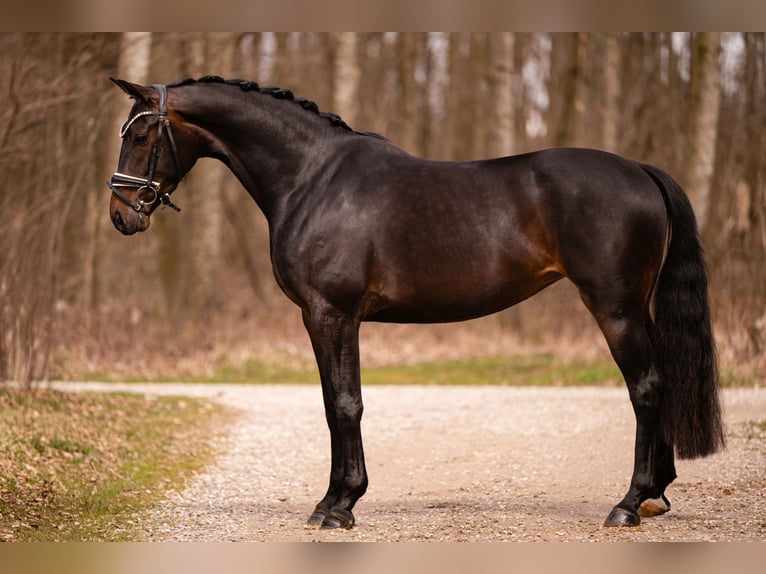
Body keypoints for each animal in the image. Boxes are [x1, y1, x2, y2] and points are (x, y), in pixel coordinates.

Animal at [107, 76, 725, 530]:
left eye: (140, 137)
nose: (121, 215)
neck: (311, 179)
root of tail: (640, 170)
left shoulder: (331, 313)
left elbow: (344, 405)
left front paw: (340, 506)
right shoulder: (322, 317)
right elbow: (334, 404)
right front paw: (333, 500)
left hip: (615, 308)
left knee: (646, 387)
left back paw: (628, 504)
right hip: (637, 307)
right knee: (663, 381)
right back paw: (656, 495)